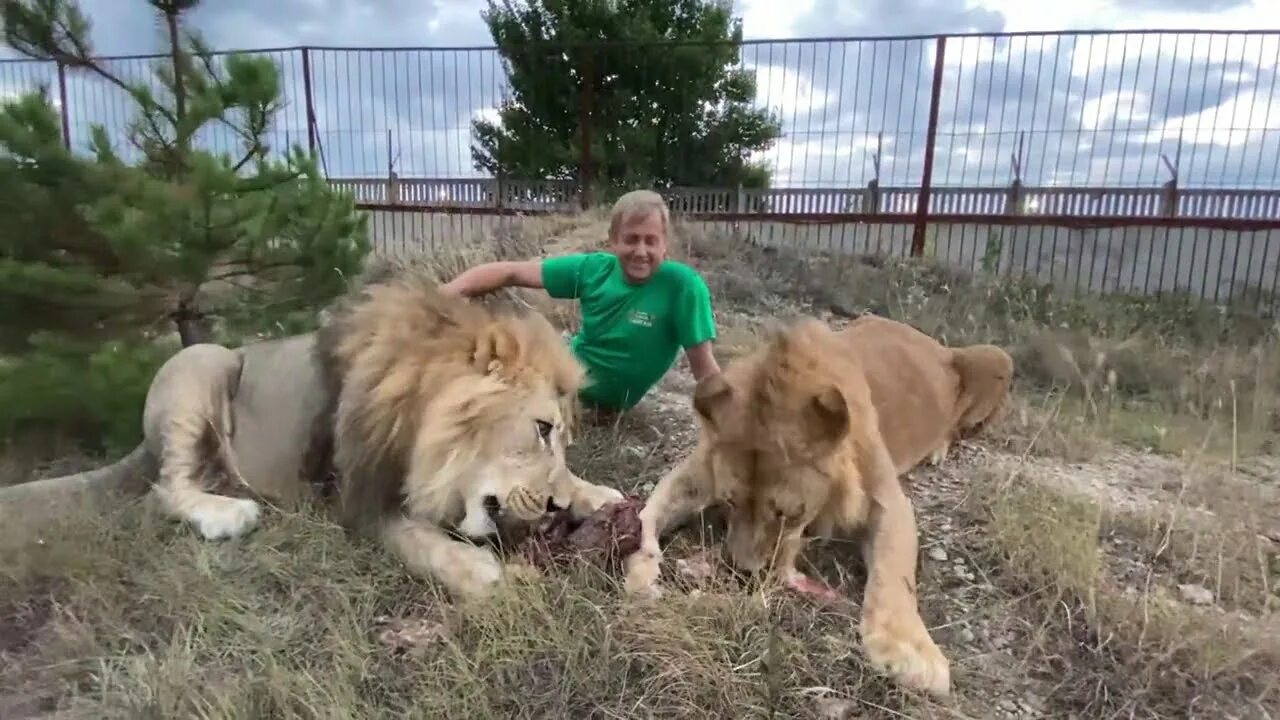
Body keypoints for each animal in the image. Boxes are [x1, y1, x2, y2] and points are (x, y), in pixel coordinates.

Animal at [624, 313, 1013, 696]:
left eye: (786, 513)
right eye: (729, 502)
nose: (743, 573)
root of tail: (927, 338)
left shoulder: (890, 501)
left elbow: (895, 569)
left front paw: (910, 652)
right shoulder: (697, 473)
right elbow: (648, 513)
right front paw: (640, 573)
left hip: (998, 358)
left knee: (958, 426)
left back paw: (938, 449)